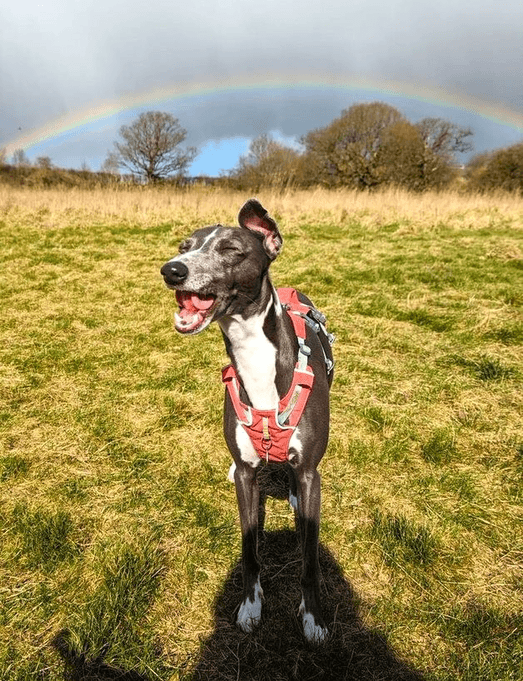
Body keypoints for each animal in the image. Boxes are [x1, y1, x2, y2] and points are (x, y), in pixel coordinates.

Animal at [160, 198, 336, 644]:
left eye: (230, 249)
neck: (254, 356)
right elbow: (249, 550)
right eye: (184, 246)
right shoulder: (246, 475)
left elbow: (309, 558)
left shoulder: (309, 470)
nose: (172, 270)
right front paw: (251, 605)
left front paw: (313, 617)